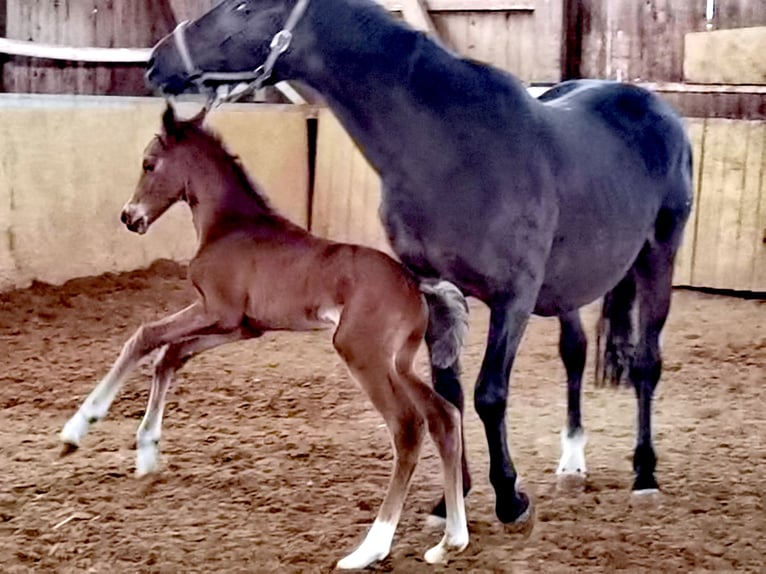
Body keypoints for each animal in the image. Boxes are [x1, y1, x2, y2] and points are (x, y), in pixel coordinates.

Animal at [59, 104, 471, 569]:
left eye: (149, 163)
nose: (130, 217)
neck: (229, 226)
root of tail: (417, 285)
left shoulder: (215, 310)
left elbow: (144, 337)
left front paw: (76, 431)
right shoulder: (240, 326)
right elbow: (171, 355)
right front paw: (146, 452)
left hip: (360, 354)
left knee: (407, 427)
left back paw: (370, 549)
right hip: (398, 362)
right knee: (444, 416)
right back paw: (450, 540)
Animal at [145, 0, 694, 528]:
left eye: (243, 7)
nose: (156, 61)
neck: (455, 148)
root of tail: (649, 104)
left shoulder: (513, 298)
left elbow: (489, 394)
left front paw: (509, 498)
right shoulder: (435, 286)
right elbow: (448, 392)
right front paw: (452, 499)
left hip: (657, 258)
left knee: (646, 362)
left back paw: (645, 475)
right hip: (568, 285)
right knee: (575, 353)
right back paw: (573, 461)